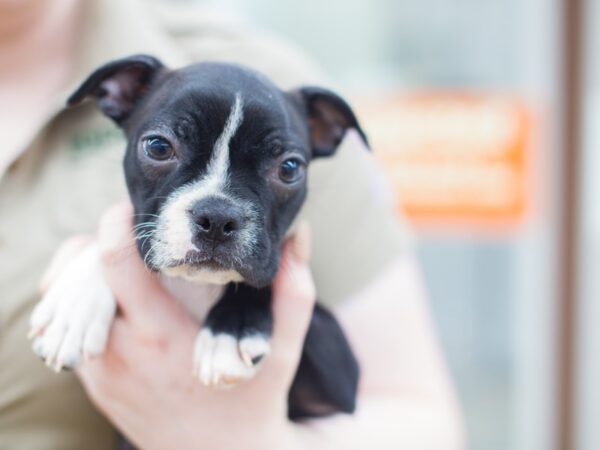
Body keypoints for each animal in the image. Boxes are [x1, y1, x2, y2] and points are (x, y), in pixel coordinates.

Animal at [30, 55, 368, 418]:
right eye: (158, 147)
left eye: (289, 169)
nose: (218, 217)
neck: (196, 285)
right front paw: (74, 305)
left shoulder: (336, 378)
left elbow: (258, 278)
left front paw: (230, 331)